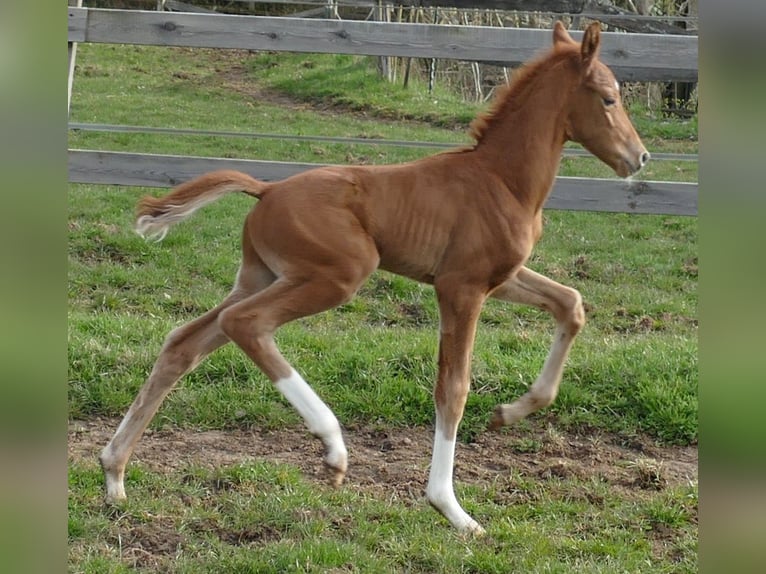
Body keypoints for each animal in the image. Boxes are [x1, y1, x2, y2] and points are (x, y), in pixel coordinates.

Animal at [100, 21, 649, 534]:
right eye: (609, 97)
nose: (639, 157)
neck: (500, 181)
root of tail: (266, 189)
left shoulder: (501, 276)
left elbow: (570, 303)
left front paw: (510, 412)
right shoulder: (461, 287)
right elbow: (453, 388)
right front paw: (450, 508)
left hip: (262, 275)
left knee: (185, 341)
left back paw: (114, 473)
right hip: (340, 275)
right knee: (246, 324)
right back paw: (333, 448)